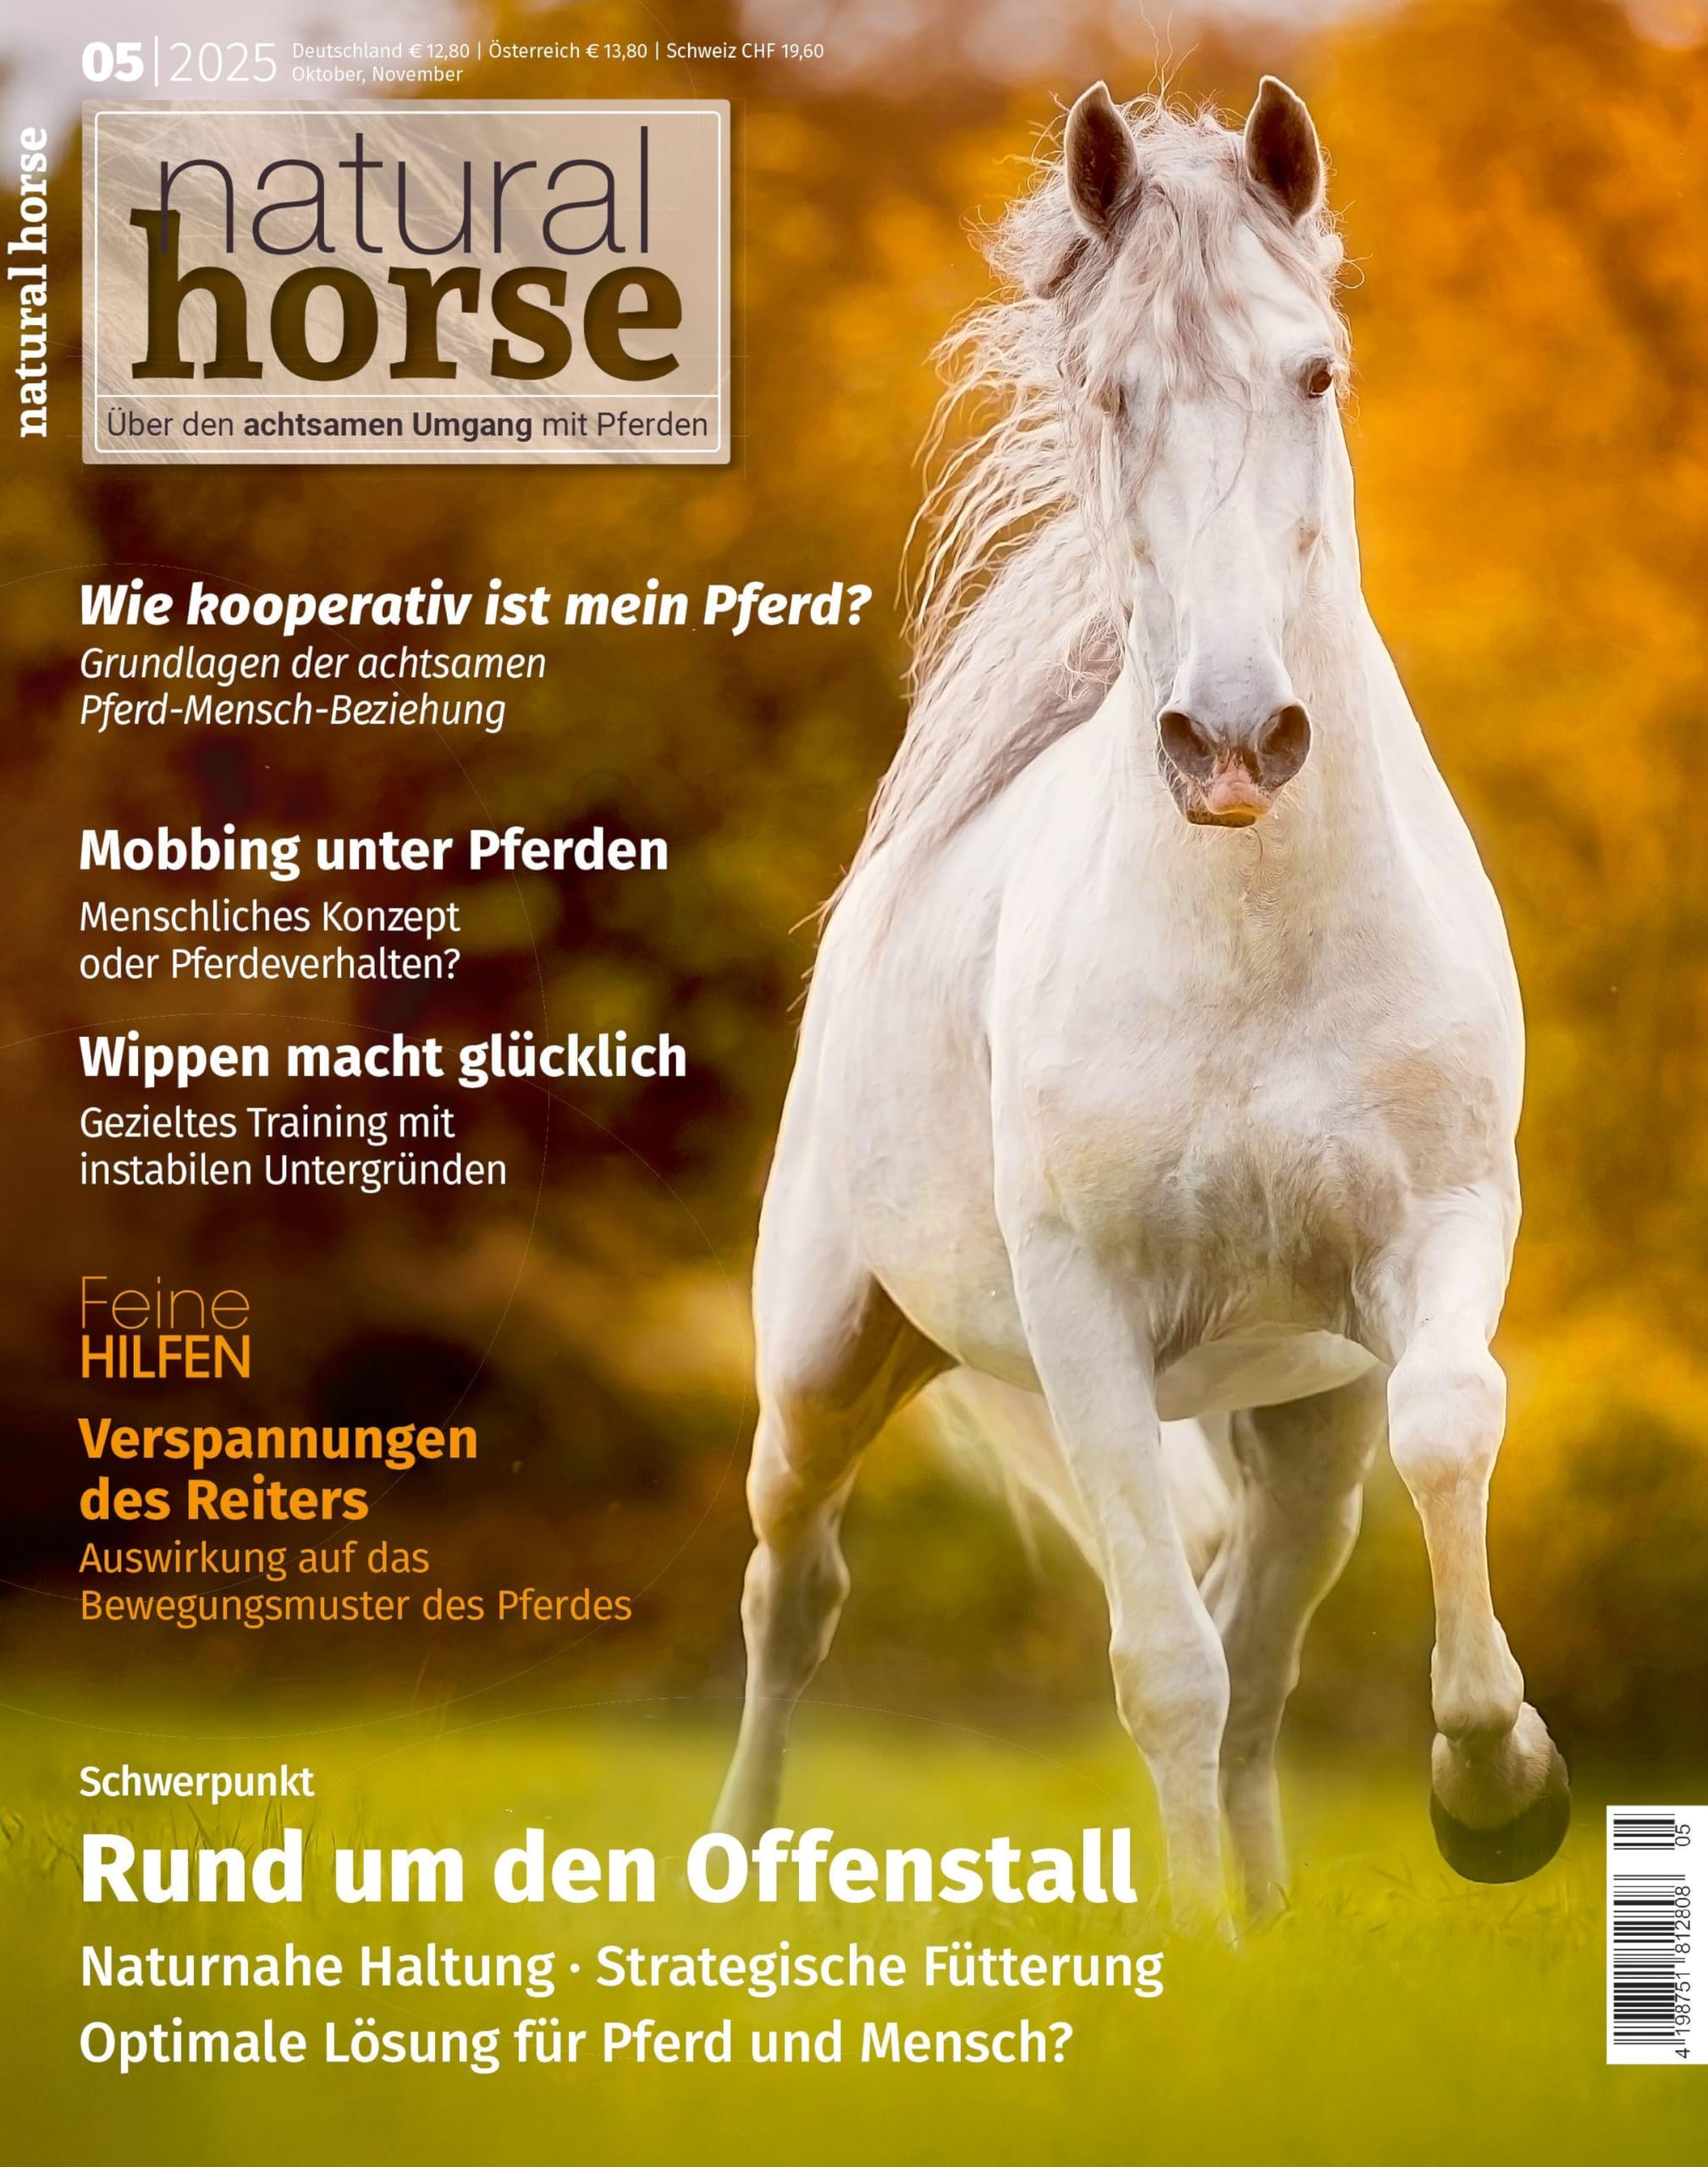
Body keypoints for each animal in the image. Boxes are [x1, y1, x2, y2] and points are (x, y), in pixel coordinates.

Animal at [713, 76, 1570, 1928]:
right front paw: (1185, 1961)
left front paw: (1495, 1782)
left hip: (1302, 1419)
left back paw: (1273, 1920)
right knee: (791, 1591)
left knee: (1262, 1650)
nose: (1235, 740)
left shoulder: (1436, 1240)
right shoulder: (1087, 1320)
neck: (1252, 950)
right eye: (1112, 392)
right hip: (824, 1360)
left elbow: (1449, 1428)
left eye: (1314, 372)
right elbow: (1157, 1669)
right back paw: (734, 1869)